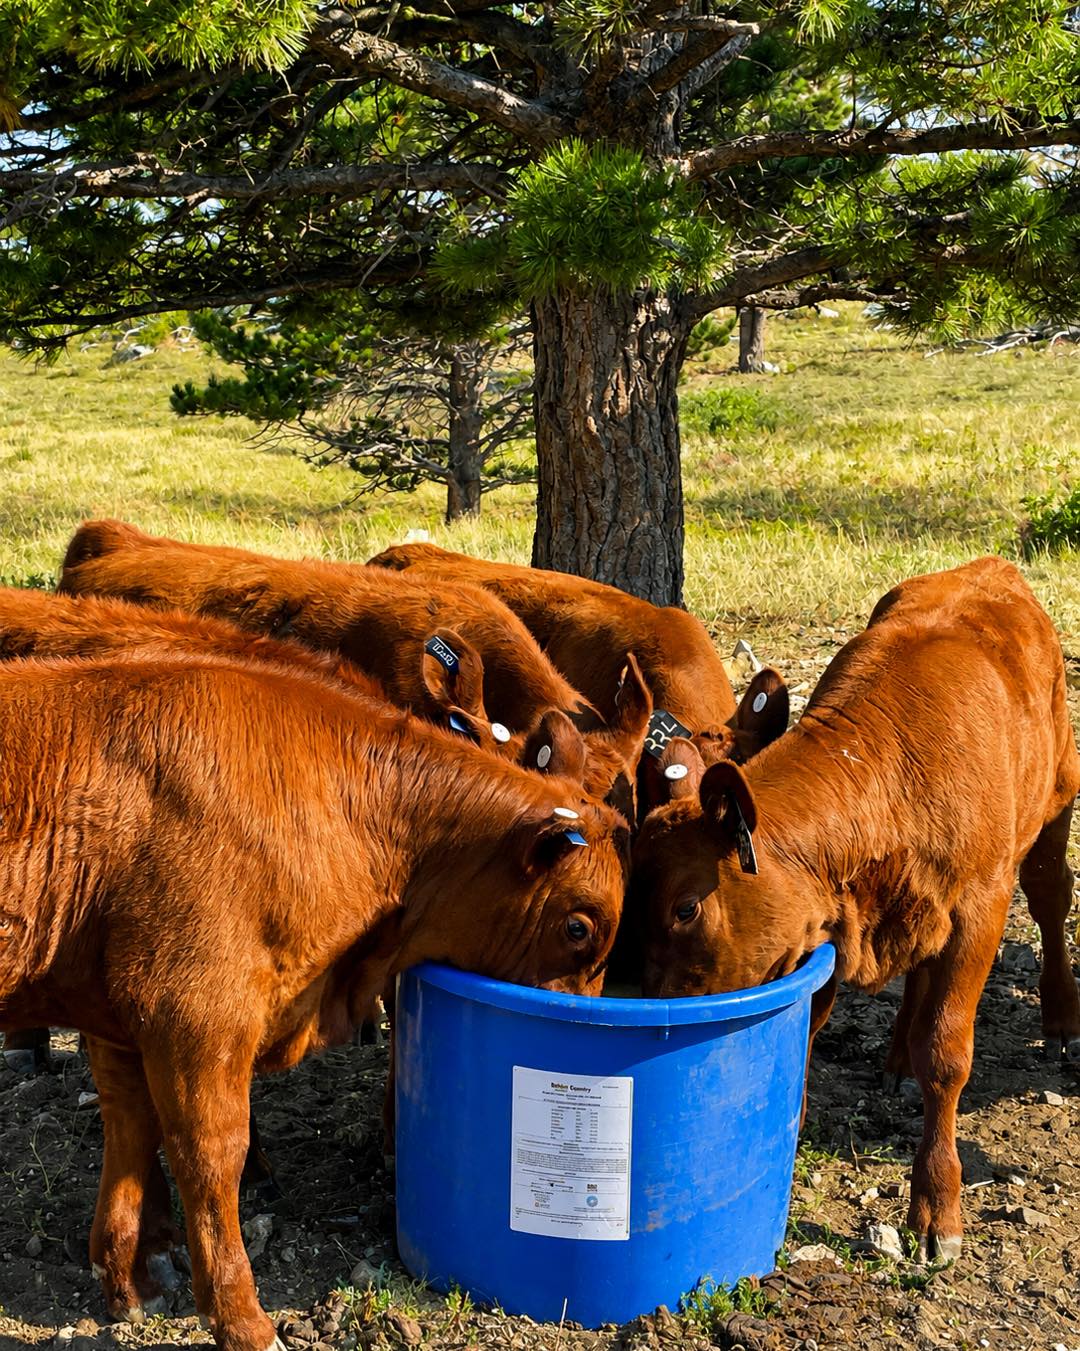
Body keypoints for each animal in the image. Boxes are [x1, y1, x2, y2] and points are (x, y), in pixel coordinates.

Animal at [0, 648, 628, 1351]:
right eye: (577, 927)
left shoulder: (117, 1018)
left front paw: (128, 1284)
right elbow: (212, 1157)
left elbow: (131, 1132)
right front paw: (243, 1320)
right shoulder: (194, 1012)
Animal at [633, 557, 1080, 1262]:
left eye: (684, 910)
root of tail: (992, 568)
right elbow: (808, 1035)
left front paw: (936, 1208)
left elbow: (946, 1053)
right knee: (919, 971)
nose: (652, 1008)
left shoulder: (980, 908)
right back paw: (896, 1056)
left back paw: (1061, 1018)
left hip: (1055, 799)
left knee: (1051, 897)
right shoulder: (824, 930)